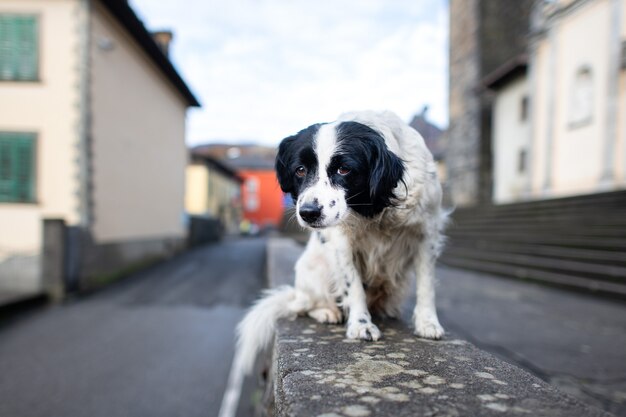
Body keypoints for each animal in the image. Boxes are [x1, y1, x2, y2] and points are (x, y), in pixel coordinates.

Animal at [236, 109, 446, 372]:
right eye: (300, 170)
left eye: (344, 169)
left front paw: (427, 322)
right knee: (306, 305)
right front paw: (360, 325)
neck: (376, 207)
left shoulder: (426, 232)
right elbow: (352, 285)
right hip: (313, 272)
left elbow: (426, 285)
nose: (308, 213)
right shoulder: (341, 243)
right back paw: (327, 312)